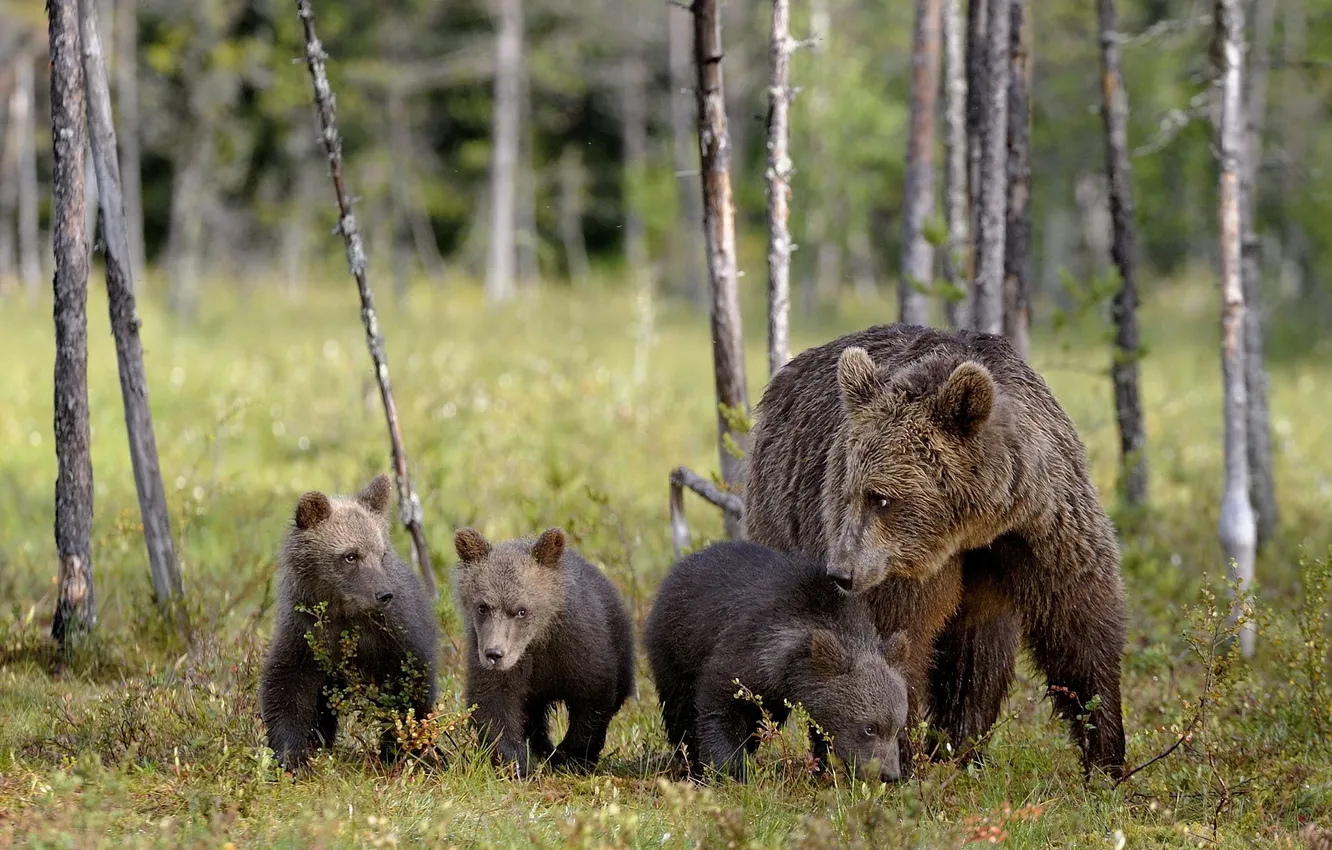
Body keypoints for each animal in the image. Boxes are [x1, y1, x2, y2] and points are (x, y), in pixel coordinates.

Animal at [259, 473, 439, 771]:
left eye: (382, 554)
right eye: (350, 555)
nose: (384, 594)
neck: (344, 614)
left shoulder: (394, 635)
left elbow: (410, 689)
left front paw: (401, 751)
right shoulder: (304, 635)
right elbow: (286, 689)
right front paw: (292, 755)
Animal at [452, 526, 635, 777]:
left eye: (521, 610)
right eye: (482, 607)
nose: (494, 654)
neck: (537, 640)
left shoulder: (579, 647)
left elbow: (592, 699)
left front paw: (572, 756)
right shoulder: (498, 660)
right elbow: (493, 705)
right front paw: (518, 763)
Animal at [644, 540, 910, 784]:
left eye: (898, 728)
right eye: (870, 727)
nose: (890, 775)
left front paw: (825, 769)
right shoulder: (746, 651)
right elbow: (719, 705)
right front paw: (728, 770)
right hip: (675, 646)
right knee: (679, 706)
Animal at [742, 323, 1127, 778]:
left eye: (881, 498)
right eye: (848, 491)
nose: (841, 572)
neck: (973, 527)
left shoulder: (1043, 530)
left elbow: (1078, 628)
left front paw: (1106, 755)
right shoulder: (900, 571)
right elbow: (893, 644)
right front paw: (899, 757)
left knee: (978, 656)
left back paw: (961, 750)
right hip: (780, 513)